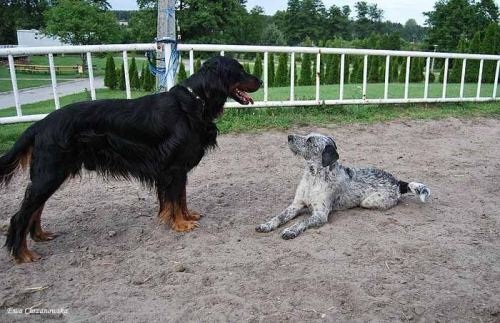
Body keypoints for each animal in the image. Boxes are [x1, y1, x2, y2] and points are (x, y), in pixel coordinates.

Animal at [0, 55, 264, 264]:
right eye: (239, 69)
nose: (261, 81)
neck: (194, 102)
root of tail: (39, 125)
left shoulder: (177, 169)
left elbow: (181, 197)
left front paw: (187, 216)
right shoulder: (175, 167)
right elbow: (175, 198)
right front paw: (180, 224)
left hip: (51, 174)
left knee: (35, 209)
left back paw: (40, 236)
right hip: (50, 173)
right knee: (20, 215)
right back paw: (23, 254)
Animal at [256, 132, 432, 240]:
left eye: (310, 141)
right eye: (307, 135)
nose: (289, 136)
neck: (313, 177)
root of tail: (398, 182)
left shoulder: (320, 214)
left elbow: (301, 222)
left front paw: (290, 230)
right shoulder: (296, 205)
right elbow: (279, 217)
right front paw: (266, 225)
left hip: (368, 202)